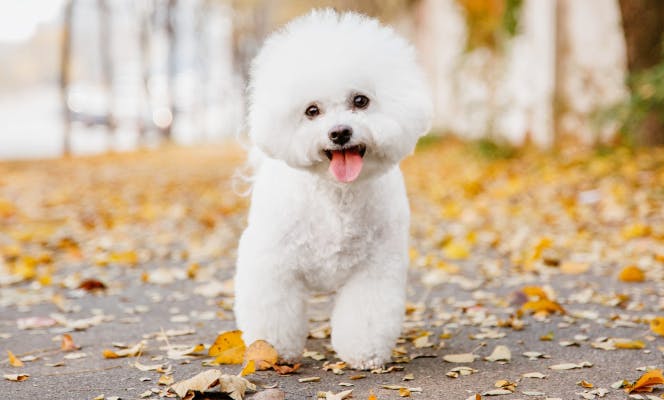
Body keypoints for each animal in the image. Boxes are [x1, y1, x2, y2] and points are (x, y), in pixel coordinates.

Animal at [235, 8, 436, 368]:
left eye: (361, 100)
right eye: (312, 111)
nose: (340, 132)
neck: (337, 195)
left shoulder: (375, 268)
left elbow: (366, 315)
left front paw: (363, 353)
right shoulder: (272, 262)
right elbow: (272, 310)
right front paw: (271, 349)